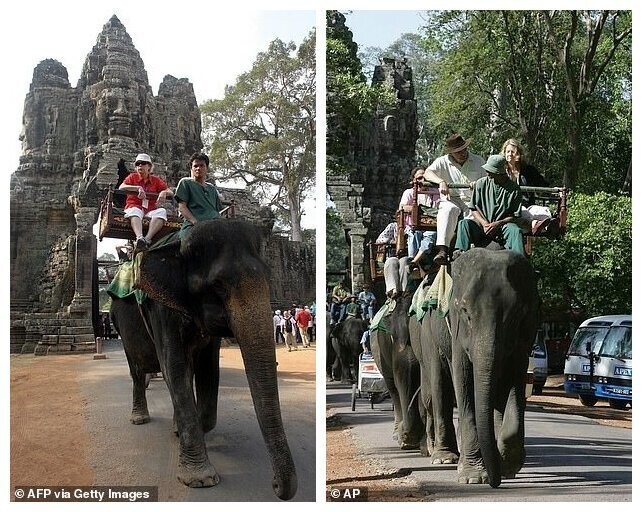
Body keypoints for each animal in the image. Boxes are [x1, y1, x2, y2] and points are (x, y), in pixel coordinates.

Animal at [109, 220, 298, 500]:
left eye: (268, 279)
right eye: (217, 287)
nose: (275, 484)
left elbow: (208, 369)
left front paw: (184, 429)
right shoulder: (160, 306)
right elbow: (173, 366)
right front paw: (200, 479)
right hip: (119, 324)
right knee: (137, 369)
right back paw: (140, 417)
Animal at [444, 248, 540, 488]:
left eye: (516, 315)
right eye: (466, 312)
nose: (494, 483)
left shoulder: (526, 334)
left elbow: (516, 380)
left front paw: (507, 465)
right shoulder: (456, 333)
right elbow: (463, 381)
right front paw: (473, 477)